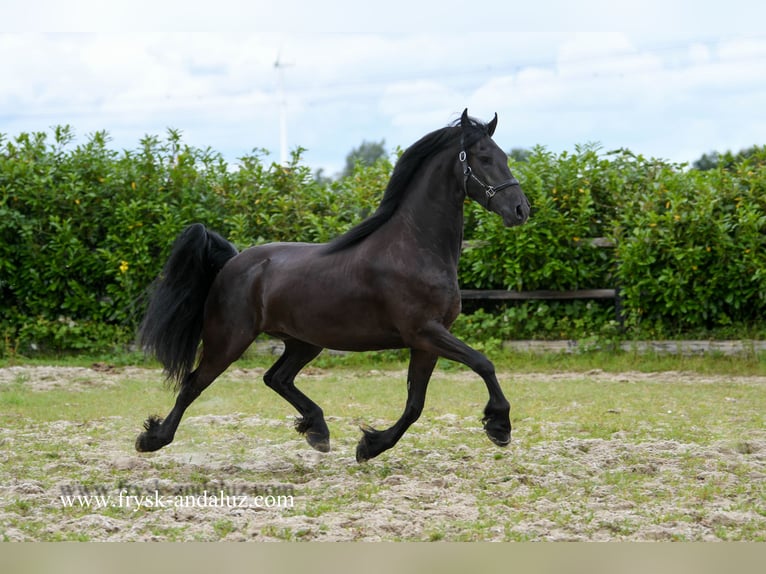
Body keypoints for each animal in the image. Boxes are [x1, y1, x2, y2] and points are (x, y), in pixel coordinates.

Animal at [136, 110, 528, 464]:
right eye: (484, 158)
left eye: (506, 157)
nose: (521, 210)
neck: (414, 248)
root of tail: (232, 262)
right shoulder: (424, 332)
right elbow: (483, 363)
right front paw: (499, 426)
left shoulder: (427, 341)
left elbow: (415, 404)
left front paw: (370, 446)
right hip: (229, 340)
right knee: (193, 383)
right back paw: (153, 439)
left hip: (304, 342)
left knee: (275, 378)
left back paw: (317, 431)